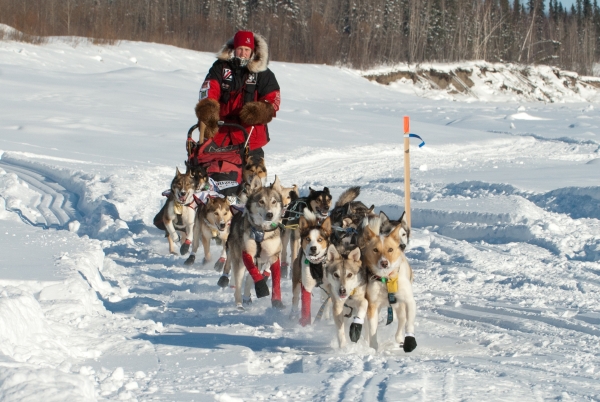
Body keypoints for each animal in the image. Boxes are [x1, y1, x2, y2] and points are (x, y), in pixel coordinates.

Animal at [223, 174, 286, 310]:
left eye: (274, 201)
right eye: (261, 201)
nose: (269, 214)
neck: (262, 232)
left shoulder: (273, 256)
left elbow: (275, 280)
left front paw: (277, 301)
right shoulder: (247, 253)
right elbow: (254, 274)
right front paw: (262, 288)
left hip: (259, 261)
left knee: (249, 279)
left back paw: (247, 297)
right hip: (239, 262)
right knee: (240, 281)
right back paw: (239, 304)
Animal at [360, 217, 418, 352]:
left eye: (390, 249)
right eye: (375, 250)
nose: (384, 263)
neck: (386, 279)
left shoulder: (408, 301)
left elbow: (409, 323)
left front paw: (410, 341)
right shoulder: (373, 306)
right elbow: (373, 330)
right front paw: (373, 348)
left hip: (399, 306)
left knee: (402, 320)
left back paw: (400, 339)